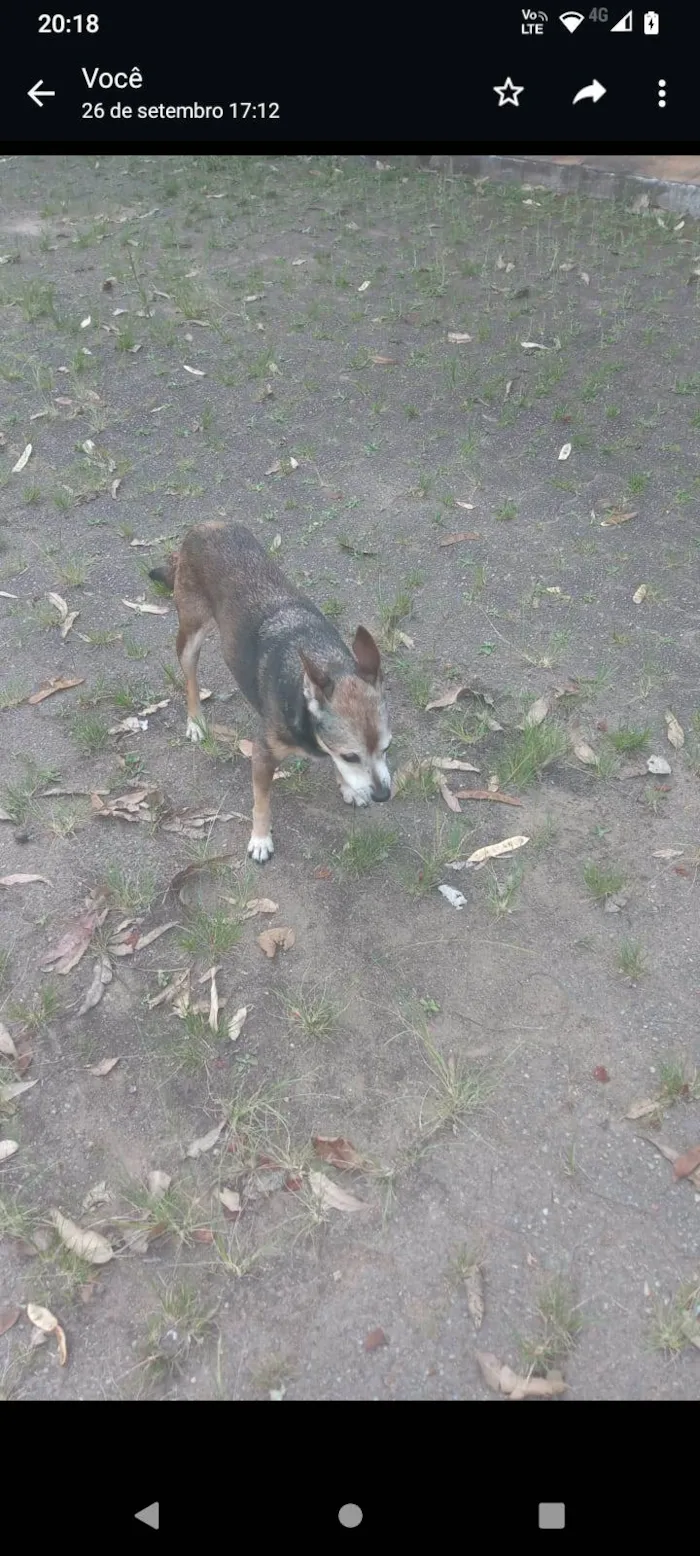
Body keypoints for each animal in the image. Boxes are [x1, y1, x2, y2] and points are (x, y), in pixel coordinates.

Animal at [150, 525, 390, 865]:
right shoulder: (262, 755)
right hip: (191, 633)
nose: (384, 795)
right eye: (351, 756)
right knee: (190, 680)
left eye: (386, 748)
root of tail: (203, 527)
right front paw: (261, 839)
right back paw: (196, 722)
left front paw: (349, 787)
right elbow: (261, 804)